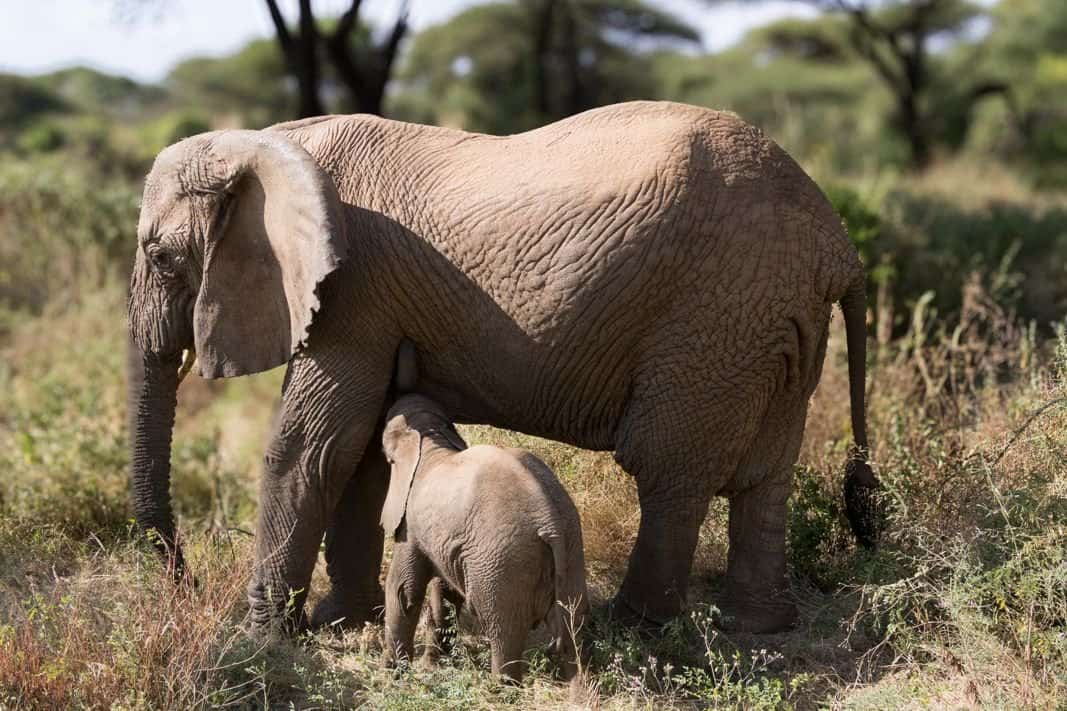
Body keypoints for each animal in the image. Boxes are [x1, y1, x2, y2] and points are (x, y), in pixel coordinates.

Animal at [126, 100, 879, 635]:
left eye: (161, 257)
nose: (186, 584)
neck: (262, 143)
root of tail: (836, 241)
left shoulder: (351, 291)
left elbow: (311, 445)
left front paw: (263, 637)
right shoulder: (368, 301)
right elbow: (359, 447)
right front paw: (339, 622)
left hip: (715, 318)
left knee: (668, 468)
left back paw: (635, 627)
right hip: (771, 323)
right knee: (764, 477)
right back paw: (760, 628)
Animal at [379, 394, 587, 682]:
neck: (432, 437)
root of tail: (551, 521)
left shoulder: (411, 522)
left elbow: (403, 589)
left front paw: (392, 673)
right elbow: (444, 592)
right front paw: (430, 667)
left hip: (503, 566)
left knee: (502, 632)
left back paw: (500, 686)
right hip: (571, 550)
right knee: (570, 634)